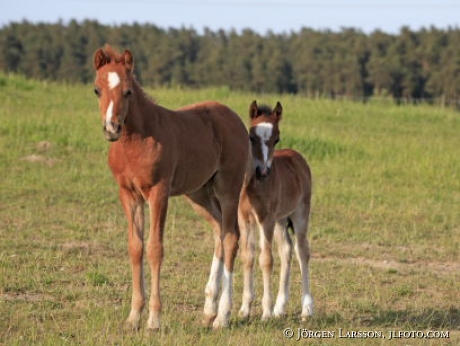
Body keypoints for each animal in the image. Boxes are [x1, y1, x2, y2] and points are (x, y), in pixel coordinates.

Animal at [92, 46, 248, 330]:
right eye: (97, 89)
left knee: (231, 237)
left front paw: (154, 319)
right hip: (198, 194)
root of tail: (233, 117)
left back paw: (222, 316)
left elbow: (155, 248)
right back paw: (208, 311)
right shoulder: (129, 194)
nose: (112, 128)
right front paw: (133, 317)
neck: (135, 141)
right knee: (219, 232)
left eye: (128, 91)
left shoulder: (158, 192)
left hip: (228, 187)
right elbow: (135, 248)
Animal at [237, 100, 312, 322]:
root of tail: (297, 156)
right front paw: (245, 309)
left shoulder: (266, 219)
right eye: (251, 137)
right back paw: (280, 308)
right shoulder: (244, 219)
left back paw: (306, 308)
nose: (263, 171)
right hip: (281, 220)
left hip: (299, 213)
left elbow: (266, 260)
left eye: (276, 138)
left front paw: (266, 312)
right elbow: (248, 256)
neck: (252, 186)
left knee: (302, 251)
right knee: (286, 251)